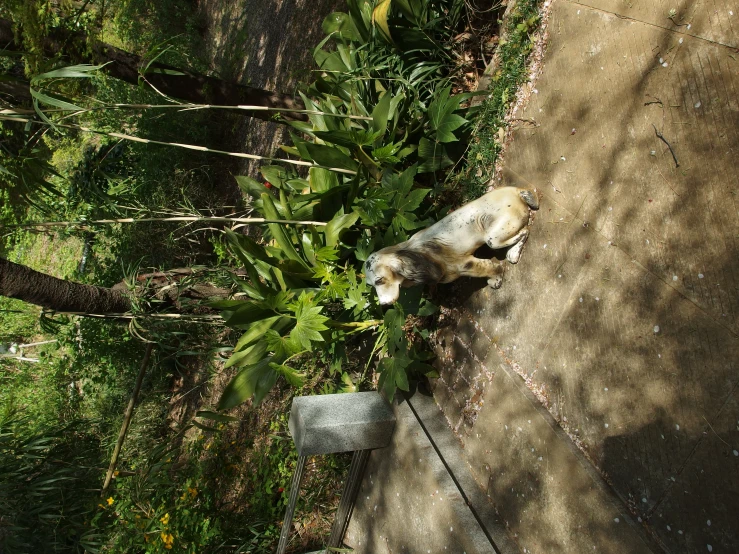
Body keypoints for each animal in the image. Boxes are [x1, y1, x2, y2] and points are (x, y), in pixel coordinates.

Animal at [364, 188, 536, 304]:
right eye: (371, 285)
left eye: (379, 281)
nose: (384, 304)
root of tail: (516, 191)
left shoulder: (465, 264)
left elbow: (491, 267)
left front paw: (496, 279)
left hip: (493, 238)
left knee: (526, 230)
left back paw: (513, 252)